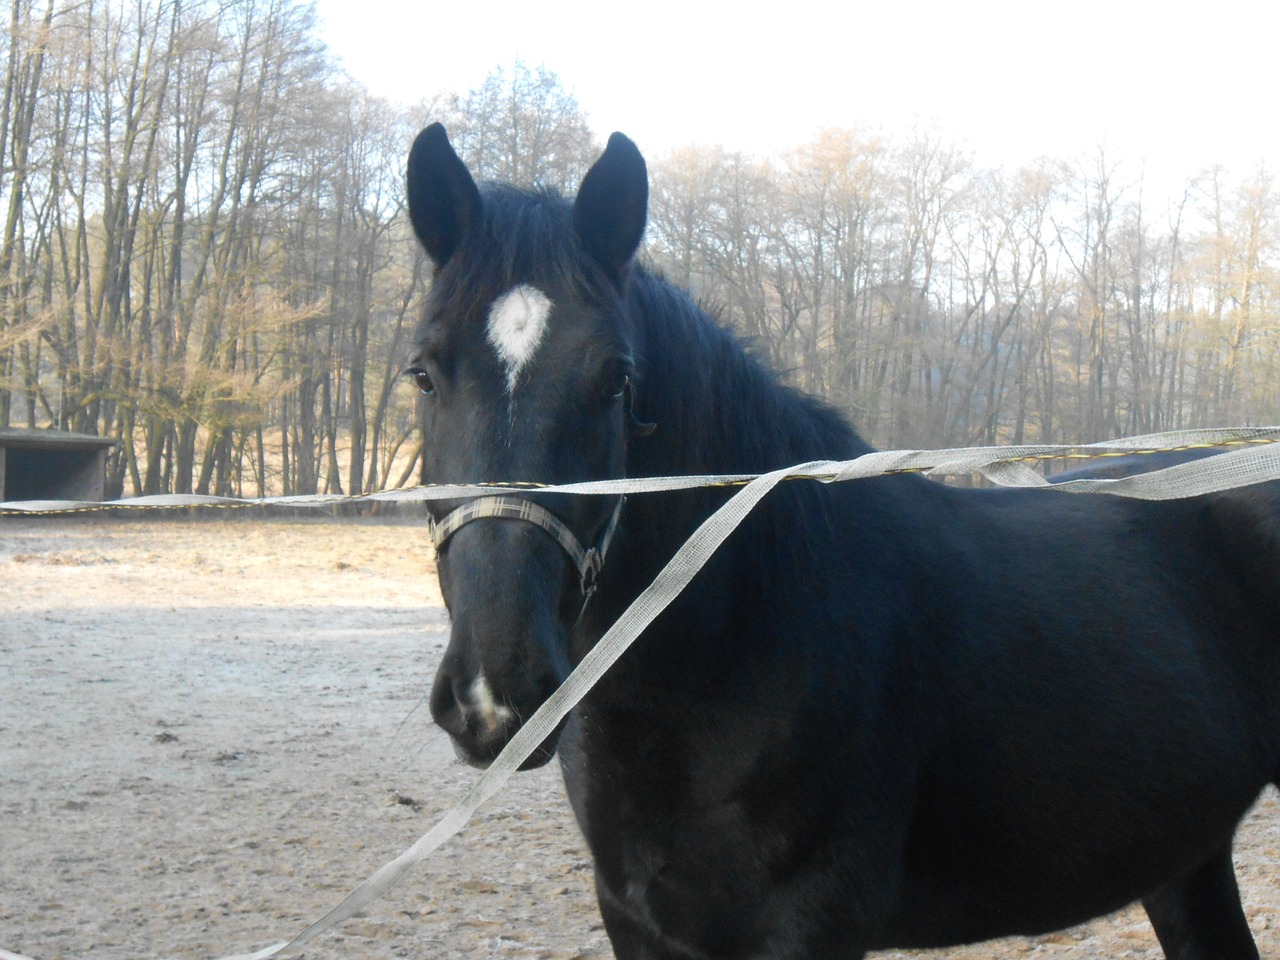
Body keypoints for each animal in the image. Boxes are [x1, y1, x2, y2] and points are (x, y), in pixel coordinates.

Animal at [404, 124, 1280, 957]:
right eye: (422, 371)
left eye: (615, 379)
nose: (494, 692)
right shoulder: (638, 922)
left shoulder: (811, 926)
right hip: (1185, 858)